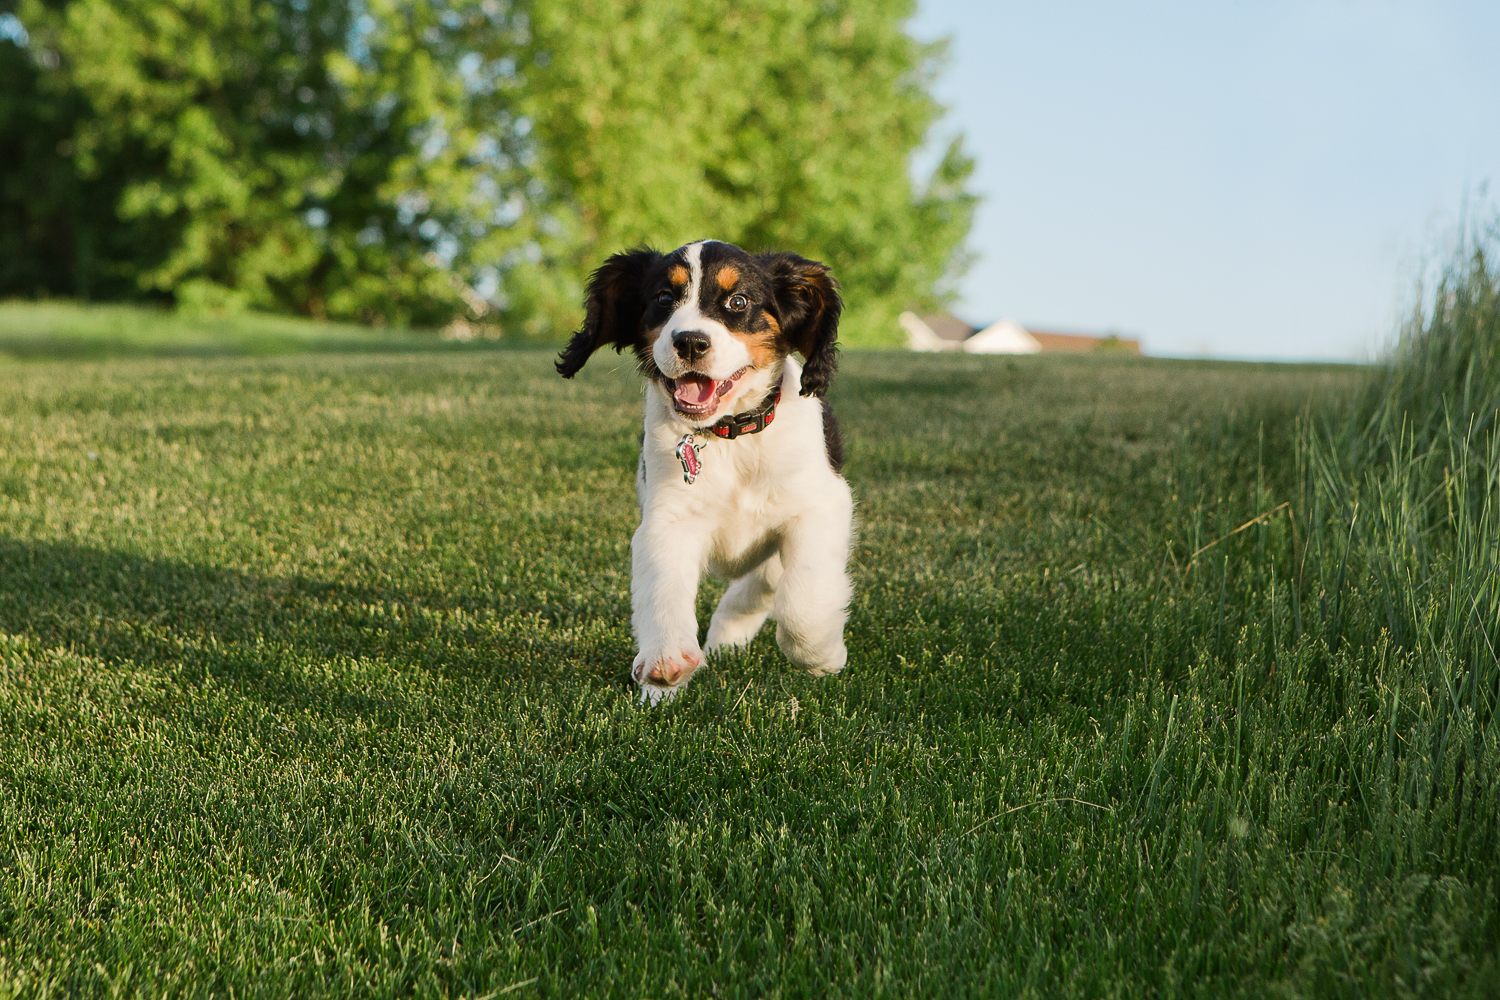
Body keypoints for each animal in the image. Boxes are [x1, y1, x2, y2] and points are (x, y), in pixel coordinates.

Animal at [558, 239, 858, 704]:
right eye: (664, 298)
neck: (729, 437)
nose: (690, 342)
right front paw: (667, 660)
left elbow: (802, 602)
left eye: (738, 302)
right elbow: (663, 584)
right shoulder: (668, 518)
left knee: (766, 581)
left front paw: (822, 655)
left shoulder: (820, 506)